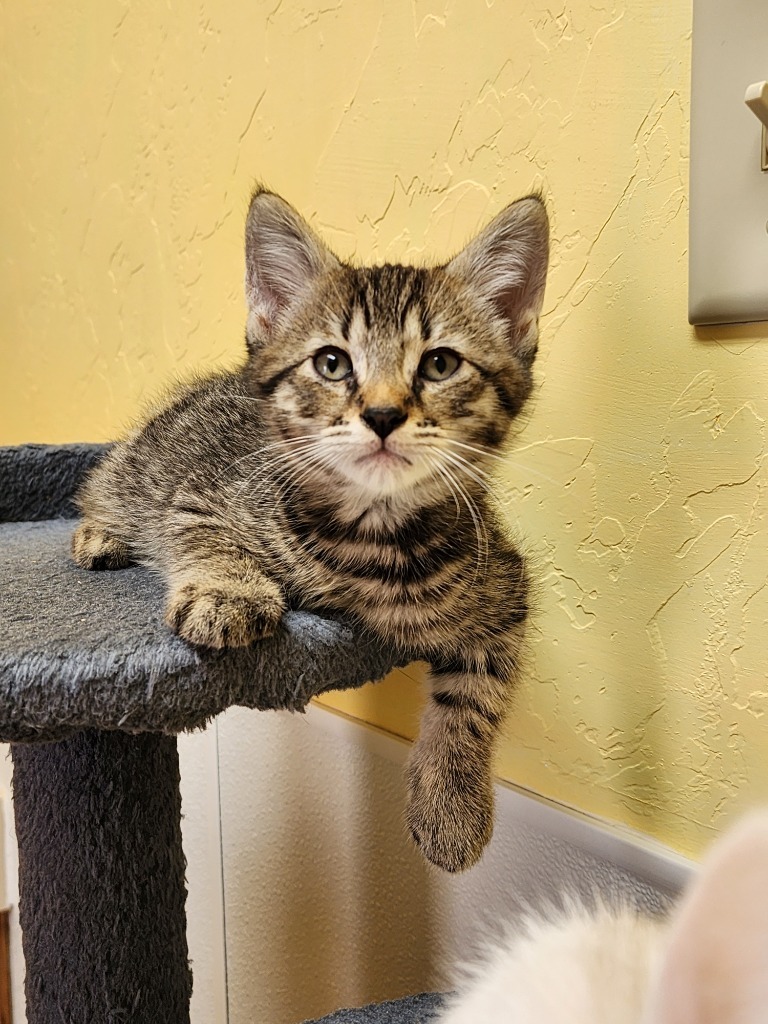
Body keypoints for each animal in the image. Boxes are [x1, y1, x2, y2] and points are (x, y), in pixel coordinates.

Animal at [73, 186, 548, 872]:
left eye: (440, 364)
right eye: (331, 363)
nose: (382, 414)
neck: (374, 541)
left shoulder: (504, 584)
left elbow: (475, 696)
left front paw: (452, 803)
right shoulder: (197, 496)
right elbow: (206, 538)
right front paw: (228, 592)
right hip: (139, 464)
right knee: (102, 486)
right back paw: (100, 536)